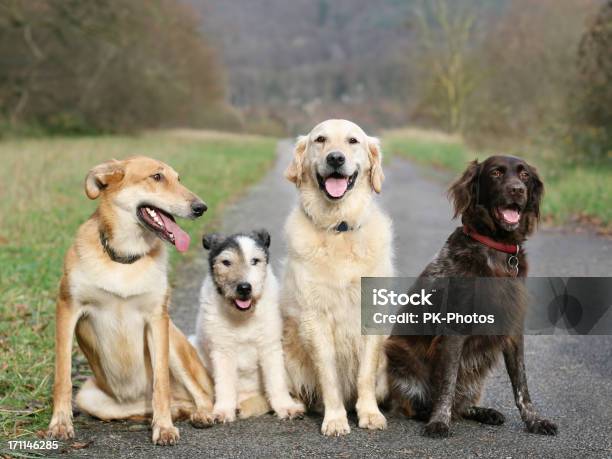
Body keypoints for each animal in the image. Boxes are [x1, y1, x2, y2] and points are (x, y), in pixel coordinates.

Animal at [46, 157, 213, 446]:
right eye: (157, 177)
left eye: (178, 179)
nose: (201, 207)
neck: (124, 257)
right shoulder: (67, 308)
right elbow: (63, 377)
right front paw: (60, 423)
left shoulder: (157, 319)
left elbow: (161, 384)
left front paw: (164, 428)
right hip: (90, 397)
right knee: (171, 404)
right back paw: (171, 412)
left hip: (174, 344)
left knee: (200, 395)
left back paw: (199, 414)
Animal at [280, 120, 392, 436]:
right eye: (320, 140)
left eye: (353, 141)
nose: (335, 158)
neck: (339, 227)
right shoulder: (315, 317)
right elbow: (328, 375)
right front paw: (335, 419)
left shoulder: (371, 314)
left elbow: (365, 374)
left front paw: (369, 414)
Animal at [388, 155, 560, 438]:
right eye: (497, 173)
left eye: (524, 175)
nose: (517, 190)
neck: (496, 248)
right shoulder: (455, 329)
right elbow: (447, 383)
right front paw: (439, 422)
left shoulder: (514, 331)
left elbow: (521, 385)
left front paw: (535, 420)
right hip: (395, 354)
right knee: (414, 403)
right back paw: (428, 413)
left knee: (462, 403)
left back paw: (484, 412)